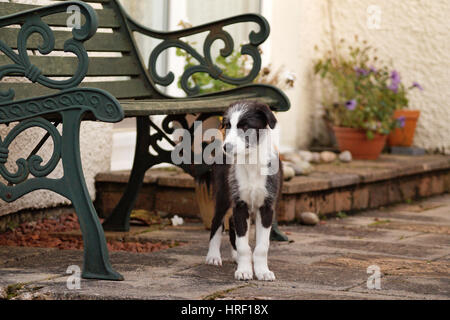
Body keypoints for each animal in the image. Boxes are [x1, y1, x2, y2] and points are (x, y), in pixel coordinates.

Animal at [207, 100, 282, 280]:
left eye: (245, 126)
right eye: (228, 125)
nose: (227, 147)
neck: (252, 162)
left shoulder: (266, 207)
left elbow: (262, 246)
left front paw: (262, 272)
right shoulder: (240, 204)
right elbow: (243, 245)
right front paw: (244, 271)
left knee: (232, 224)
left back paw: (235, 256)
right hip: (223, 195)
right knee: (216, 222)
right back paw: (213, 256)